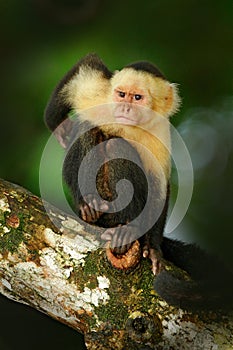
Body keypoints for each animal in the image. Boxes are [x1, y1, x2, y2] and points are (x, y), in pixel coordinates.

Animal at [43, 53, 233, 310]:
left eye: (138, 98)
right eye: (122, 94)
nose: (125, 106)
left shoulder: (161, 131)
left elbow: (159, 185)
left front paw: (152, 248)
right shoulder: (100, 95)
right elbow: (86, 68)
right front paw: (59, 125)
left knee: (116, 146)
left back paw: (127, 230)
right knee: (91, 129)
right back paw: (89, 204)